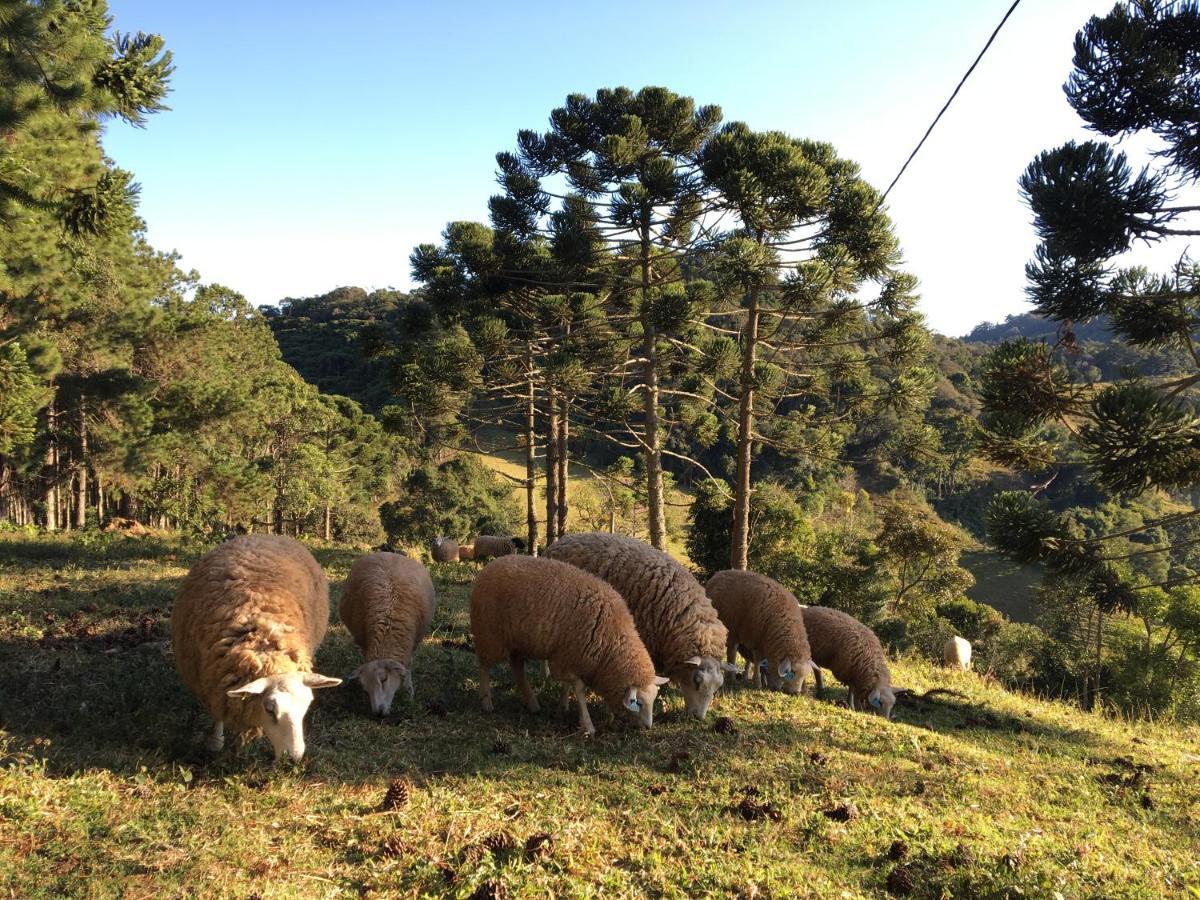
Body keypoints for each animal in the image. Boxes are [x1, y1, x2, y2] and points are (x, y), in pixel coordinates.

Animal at [169, 535, 340, 763]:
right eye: (270, 709)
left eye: (306, 706)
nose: (294, 758)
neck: (262, 646)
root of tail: (266, 535)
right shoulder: (211, 680)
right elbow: (217, 713)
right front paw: (215, 742)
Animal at [340, 554, 439, 715]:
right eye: (366, 691)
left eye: (383, 679)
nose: (378, 713)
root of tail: (389, 553)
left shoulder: (412, 644)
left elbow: (408, 667)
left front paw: (409, 692)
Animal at [468, 554, 672, 734]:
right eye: (639, 703)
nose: (648, 727)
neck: (610, 642)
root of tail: (491, 564)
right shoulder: (565, 658)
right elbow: (578, 688)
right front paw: (587, 725)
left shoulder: (569, 655)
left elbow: (567, 685)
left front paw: (562, 707)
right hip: (489, 633)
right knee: (484, 665)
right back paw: (486, 702)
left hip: (518, 640)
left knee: (516, 667)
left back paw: (532, 704)